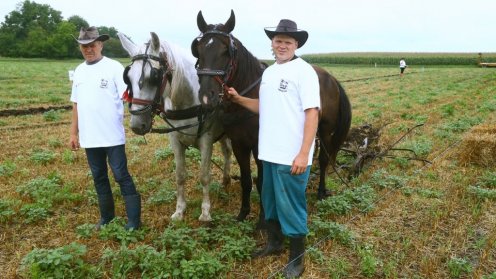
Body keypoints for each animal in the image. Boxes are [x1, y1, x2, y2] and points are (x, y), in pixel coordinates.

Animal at [191, 9, 352, 226]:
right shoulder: (239, 144)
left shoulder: (260, 147)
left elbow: (262, 182)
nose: (207, 97)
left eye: (226, 50)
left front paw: (262, 220)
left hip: (326, 130)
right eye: (198, 49)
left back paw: (320, 191)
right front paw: (243, 213)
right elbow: (246, 180)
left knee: (324, 159)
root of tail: (331, 78)